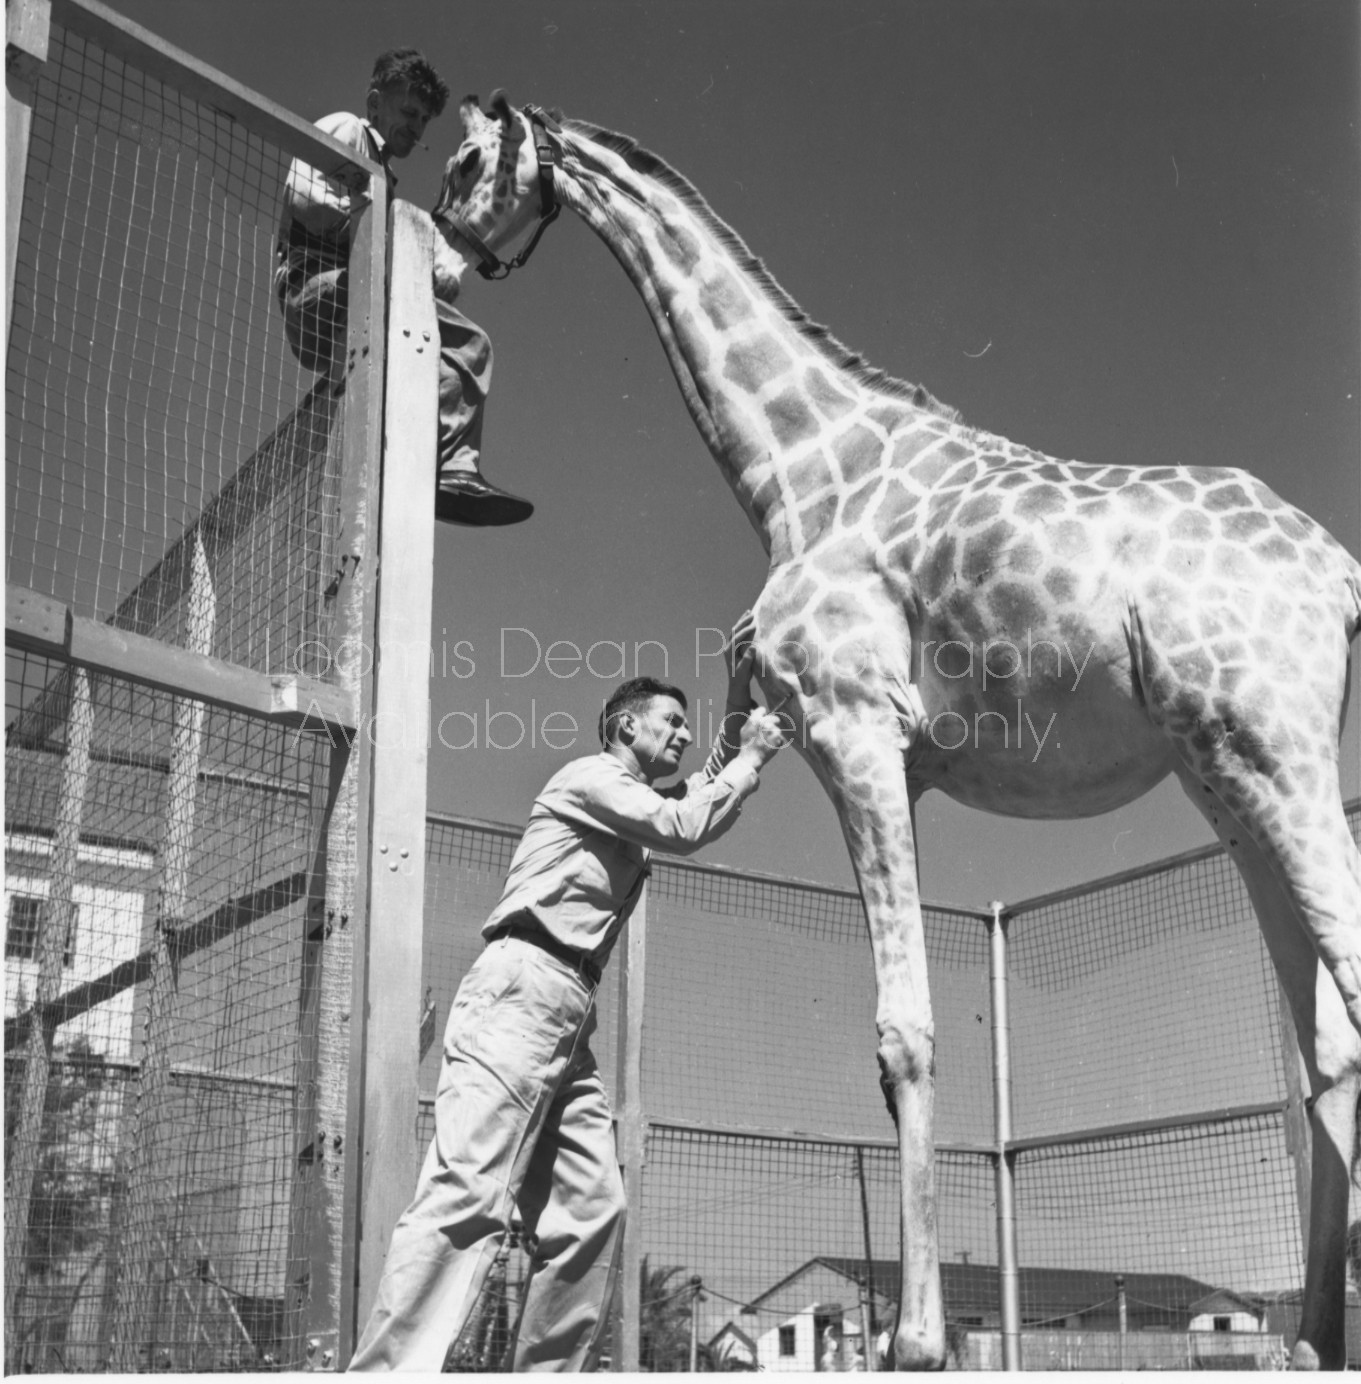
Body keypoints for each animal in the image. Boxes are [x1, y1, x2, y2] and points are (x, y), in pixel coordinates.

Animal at [434, 94, 1361, 1361]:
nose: (443, 252)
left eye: (465, 161)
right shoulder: (905, 765)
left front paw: (912, 1338)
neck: (796, 474)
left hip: (1275, 748)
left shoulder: (854, 733)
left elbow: (904, 1035)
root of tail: (1340, 573)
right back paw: (1310, 1335)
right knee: (1324, 1048)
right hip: (1226, 778)